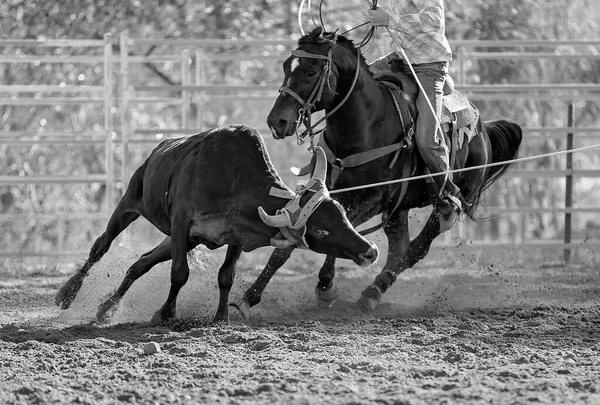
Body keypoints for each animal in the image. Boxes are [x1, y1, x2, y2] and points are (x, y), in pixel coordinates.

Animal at [54, 124, 378, 324]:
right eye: (321, 229)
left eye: (342, 214)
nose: (370, 251)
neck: (233, 178)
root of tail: (158, 150)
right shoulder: (182, 223)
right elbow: (179, 273)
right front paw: (165, 314)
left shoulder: (235, 236)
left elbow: (226, 276)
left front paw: (221, 317)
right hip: (130, 204)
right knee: (101, 246)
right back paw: (66, 294)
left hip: (181, 240)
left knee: (140, 263)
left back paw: (107, 309)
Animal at [230, 26, 520, 318]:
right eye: (286, 66)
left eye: (311, 72)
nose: (276, 122)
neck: (367, 126)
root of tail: (482, 128)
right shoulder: (329, 192)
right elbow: (292, 239)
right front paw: (247, 298)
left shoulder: (374, 198)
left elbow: (343, 228)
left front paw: (326, 287)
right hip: (398, 210)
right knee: (400, 248)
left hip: (452, 198)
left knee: (417, 247)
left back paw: (373, 290)